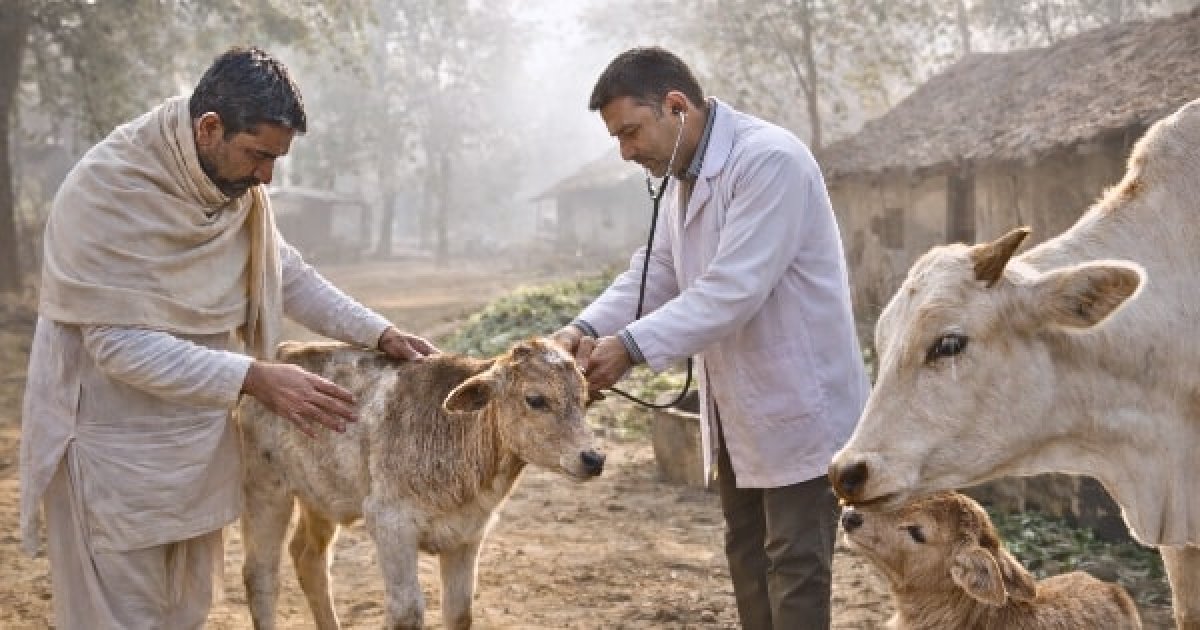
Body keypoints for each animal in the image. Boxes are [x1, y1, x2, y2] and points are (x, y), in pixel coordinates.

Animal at [236, 337, 605, 630]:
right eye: (536, 399)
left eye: (584, 398)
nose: (593, 458)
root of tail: (279, 354)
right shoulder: (390, 524)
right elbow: (406, 613)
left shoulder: (468, 535)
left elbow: (459, 613)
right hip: (264, 490)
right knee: (261, 576)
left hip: (320, 496)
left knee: (309, 559)